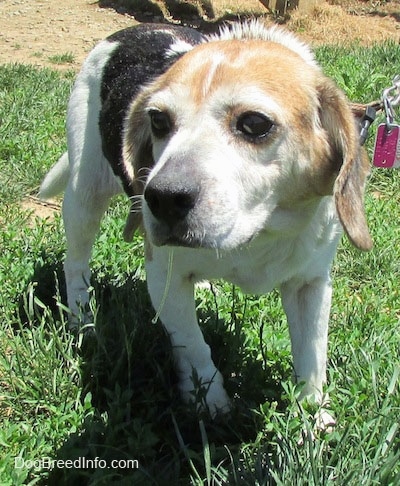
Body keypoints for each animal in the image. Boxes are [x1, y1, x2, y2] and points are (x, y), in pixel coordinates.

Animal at [40, 20, 372, 420]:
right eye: (158, 120)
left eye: (254, 123)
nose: (162, 198)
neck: (258, 232)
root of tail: (133, 29)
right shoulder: (163, 274)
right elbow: (192, 344)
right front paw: (210, 400)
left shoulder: (311, 283)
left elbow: (312, 355)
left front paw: (311, 416)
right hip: (84, 194)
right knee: (75, 265)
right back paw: (82, 320)